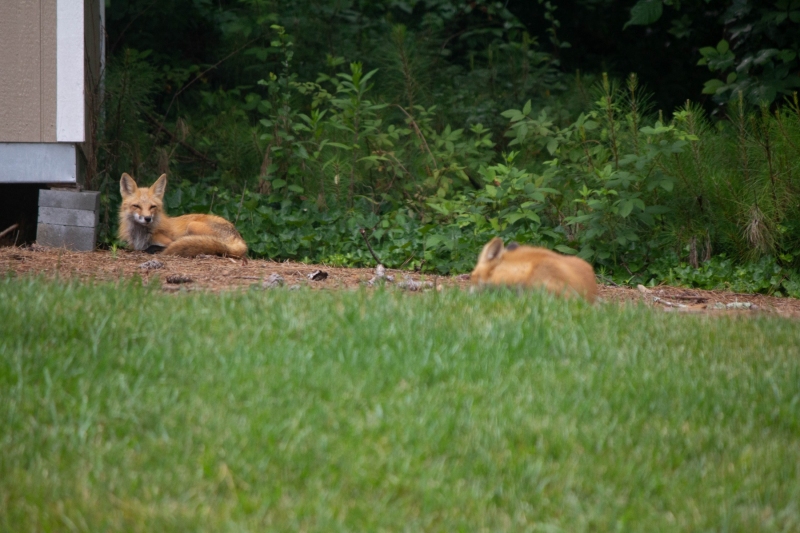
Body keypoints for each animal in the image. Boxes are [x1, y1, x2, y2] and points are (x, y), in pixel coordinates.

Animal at [118, 173, 247, 258]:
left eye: (152, 207)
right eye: (137, 206)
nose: (147, 218)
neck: (141, 235)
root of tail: (239, 238)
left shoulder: (168, 241)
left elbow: (157, 247)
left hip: (192, 225)